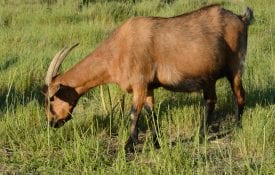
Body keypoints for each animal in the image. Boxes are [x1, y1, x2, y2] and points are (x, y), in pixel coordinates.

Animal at [43, 4, 254, 152]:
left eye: (51, 98)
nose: (52, 122)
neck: (117, 50)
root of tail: (241, 18)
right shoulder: (149, 87)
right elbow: (151, 111)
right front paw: (156, 141)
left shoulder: (140, 83)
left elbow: (133, 113)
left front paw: (129, 145)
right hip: (209, 77)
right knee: (210, 100)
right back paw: (200, 134)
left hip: (236, 67)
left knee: (239, 95)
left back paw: (236, 128)